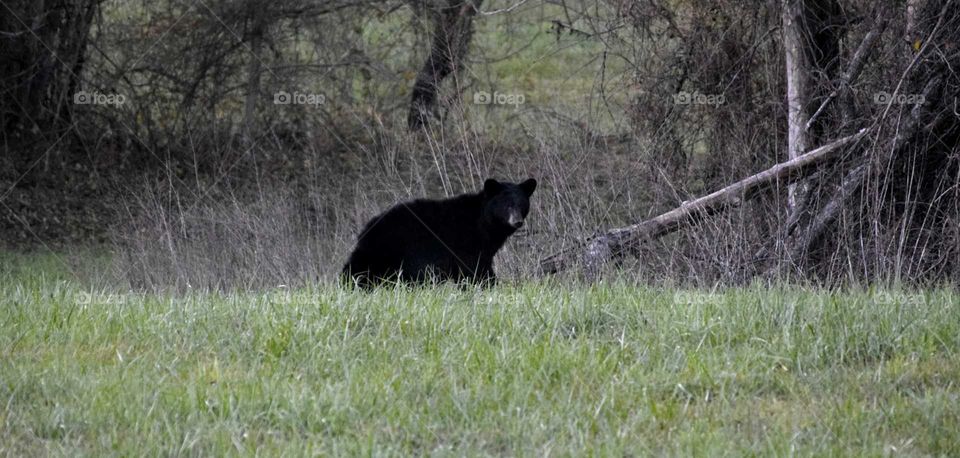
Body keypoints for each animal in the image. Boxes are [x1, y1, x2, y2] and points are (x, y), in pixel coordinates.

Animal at [344, 178, 540, 288]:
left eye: (522, 205)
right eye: (507, 205)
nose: (517, 221)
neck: (483, 224)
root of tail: (367, 229)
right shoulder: (467, 243)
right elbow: (474, 270)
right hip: (390, 248)